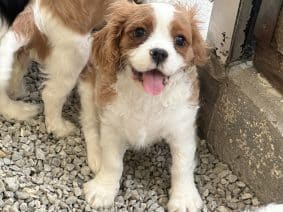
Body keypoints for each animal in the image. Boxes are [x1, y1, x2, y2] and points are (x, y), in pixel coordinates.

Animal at [79, 1, 207, 210]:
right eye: (139, 32)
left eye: (180, 40)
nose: (159, 52)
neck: (148, 97)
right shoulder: (112, 125)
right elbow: (112, 162)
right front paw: (103, 189)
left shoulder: (183, 129)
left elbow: (182, 165)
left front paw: (184, 198)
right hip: (88, 91)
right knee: (89, 125)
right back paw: (96, 155)